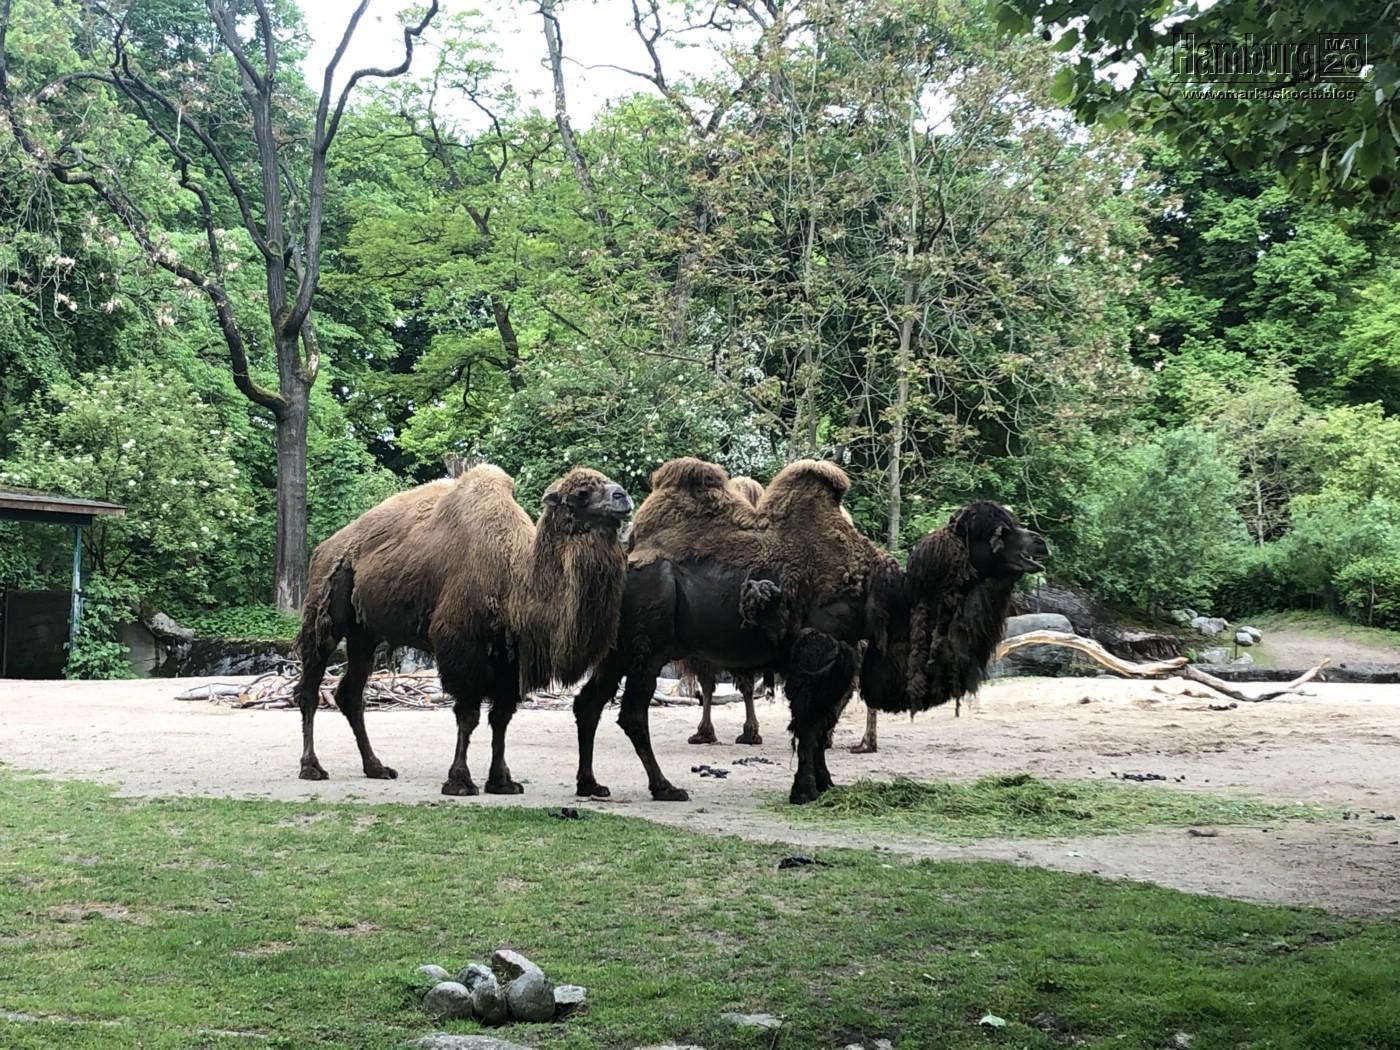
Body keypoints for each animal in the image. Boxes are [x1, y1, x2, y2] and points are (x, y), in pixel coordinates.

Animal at [293, 464, 632, 795]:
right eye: (581, 493)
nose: (623, 497)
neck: (515, 584)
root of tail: (324, 548)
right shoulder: (461, 644)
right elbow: (468, 715)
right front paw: (460, 781)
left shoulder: (510, 659)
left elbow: (501, 718)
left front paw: (502, 781)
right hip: (323, 615)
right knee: (309, 687)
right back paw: (312, 767)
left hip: (365, 634)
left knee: (350, 694)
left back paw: (376, 767)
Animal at [571, 457, 1046, 804]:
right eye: (998, 532)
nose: (1039, 546)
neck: (888, 592)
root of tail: (625, 558)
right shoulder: (819, 646)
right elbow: (809, 721)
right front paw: (804, 790)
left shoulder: (844, 653)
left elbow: (822, 721)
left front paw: (825, 784)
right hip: (647, 647)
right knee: (632, 712)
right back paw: (666, 788)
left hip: (618, 648)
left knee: (589, 703)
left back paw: (591, 785)